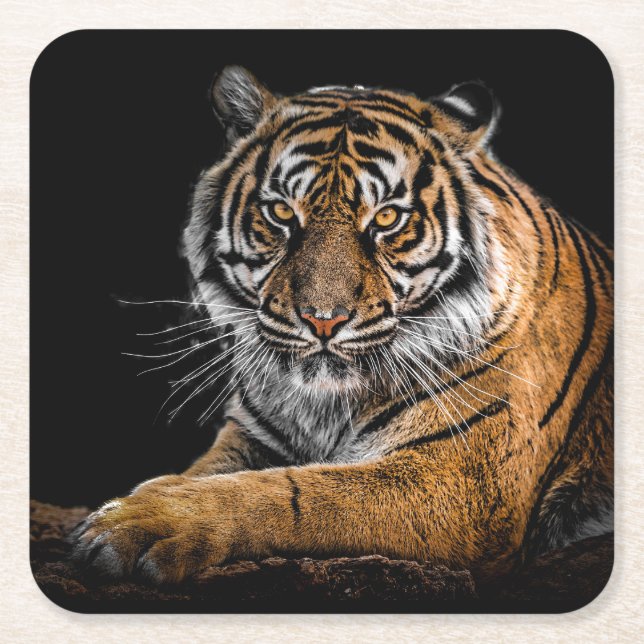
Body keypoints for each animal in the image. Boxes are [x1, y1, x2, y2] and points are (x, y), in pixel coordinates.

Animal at [71, 66, 613, 585]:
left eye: (388, 218)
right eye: (281, 212)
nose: (322, 320)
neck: (326, 406)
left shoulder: (464, 482)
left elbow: (295, 493)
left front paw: (138, 522)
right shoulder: (252, 436)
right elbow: (205, 472)